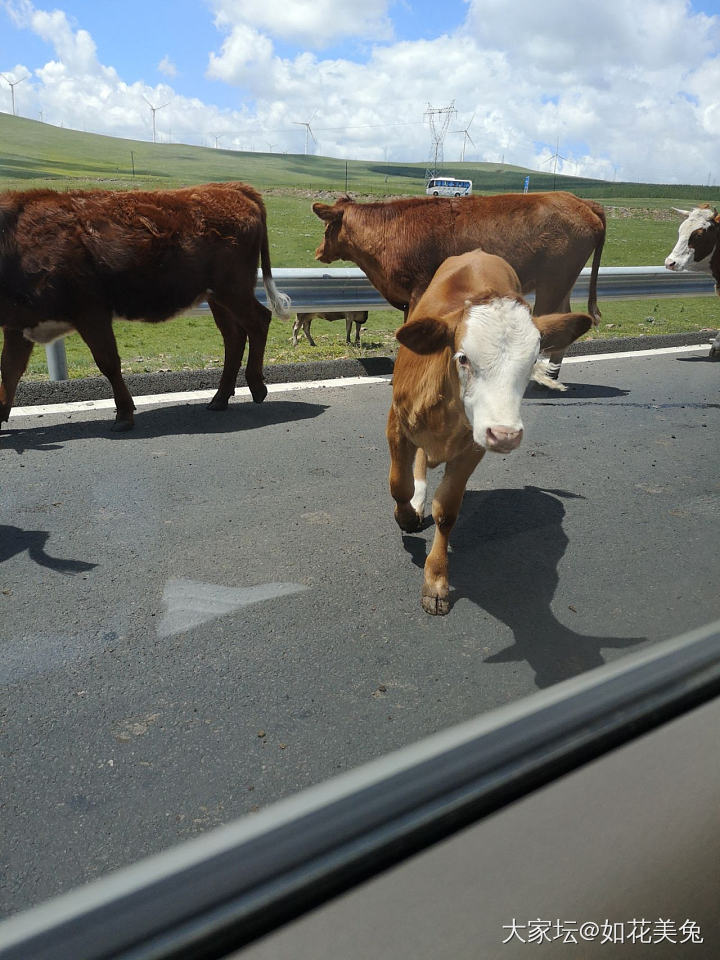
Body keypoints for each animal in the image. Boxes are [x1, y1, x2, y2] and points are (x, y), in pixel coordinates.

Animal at [1, 182, 292, 430]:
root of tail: (233, 188)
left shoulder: (91, 312)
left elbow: (108, 362)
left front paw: (124, 415)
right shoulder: (18, 323)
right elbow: (10, 369)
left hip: (233, 289)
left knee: (259, 320)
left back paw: (256, 386)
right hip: (216, 297)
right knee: (234, 336)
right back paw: (219, 398)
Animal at [312, 189, 604, 380]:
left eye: (326, 226)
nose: (318, 251)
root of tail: (579, 201)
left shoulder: (419, 291)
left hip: (552, 285)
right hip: (561, 285)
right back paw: (551, 377)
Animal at [388, 249, 592, 616]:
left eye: (533, 362)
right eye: (463, 358)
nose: (506, 434)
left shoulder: (474, 447)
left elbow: (447, 511)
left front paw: (436, 580)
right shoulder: (397, 422)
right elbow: (399, 484)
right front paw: (407, 515)